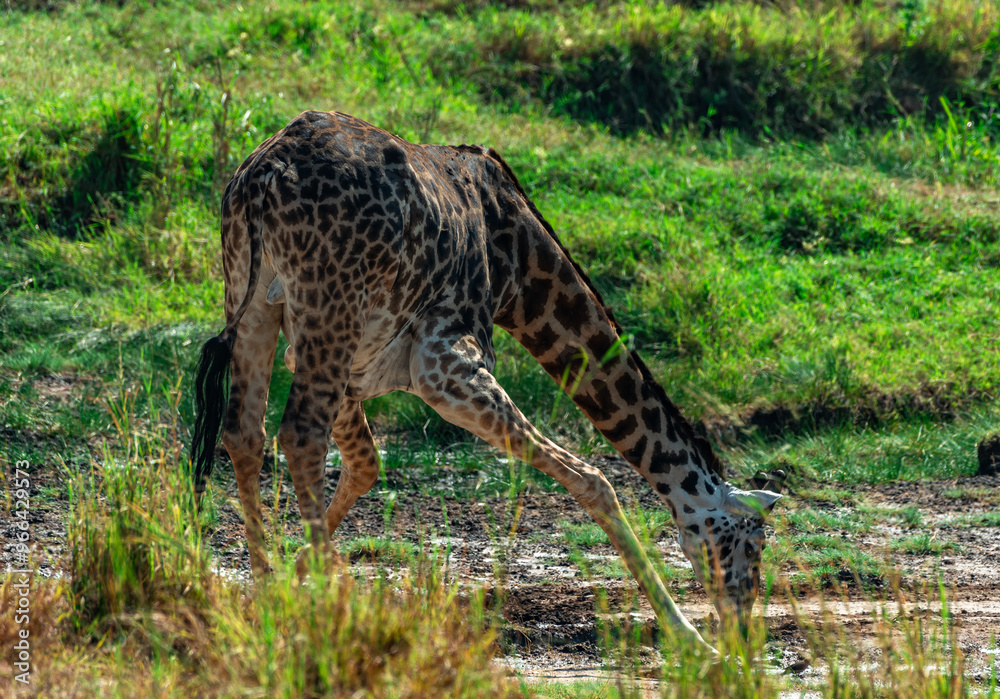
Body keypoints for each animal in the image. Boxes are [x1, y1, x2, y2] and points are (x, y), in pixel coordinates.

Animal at [190, 110, 780, 654]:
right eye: (754, 545)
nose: (743, 633)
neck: (516, 267)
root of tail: (264, 175)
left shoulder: (339, 360)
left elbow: (365, 463)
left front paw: (292, 577)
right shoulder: (444, 364)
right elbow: (596, 480)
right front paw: (692, 640)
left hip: (257, 301)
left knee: (245, 432)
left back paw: (267, 592)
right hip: (330, 309)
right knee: (299, 435)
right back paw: (333, 611)